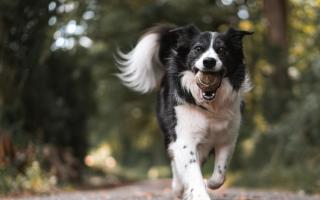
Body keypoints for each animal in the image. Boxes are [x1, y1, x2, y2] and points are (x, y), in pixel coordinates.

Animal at [115, 24, 252, 199]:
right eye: (198, 48)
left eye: (222, 49)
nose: (209, 61)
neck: (210, 106)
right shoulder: (184, 138)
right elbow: (192, 172)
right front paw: (199, 193)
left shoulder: (227, 138)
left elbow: (220, 175)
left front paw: (209, 183)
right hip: (170, 134)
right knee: (175, 161)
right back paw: (178, 188)